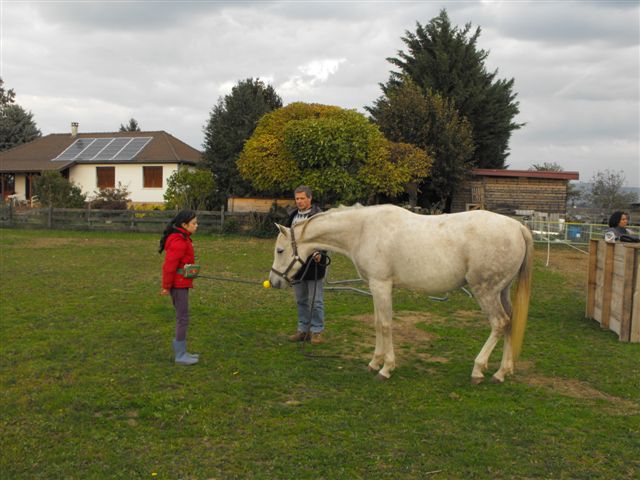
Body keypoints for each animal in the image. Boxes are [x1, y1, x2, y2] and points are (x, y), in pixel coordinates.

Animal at [270, 205, 536, 382]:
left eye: (280, 250)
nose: (274, 281)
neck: (362, 230)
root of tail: (517, 227)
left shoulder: (381, 285)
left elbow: (386, 325)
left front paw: (386, 368)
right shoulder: (375, 287)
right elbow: (378, 323)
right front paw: (374, 362)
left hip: (486, 292)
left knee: (499, 323)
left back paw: (479, 370)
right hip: (502, 291)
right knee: (510, 323)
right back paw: (503, 371)